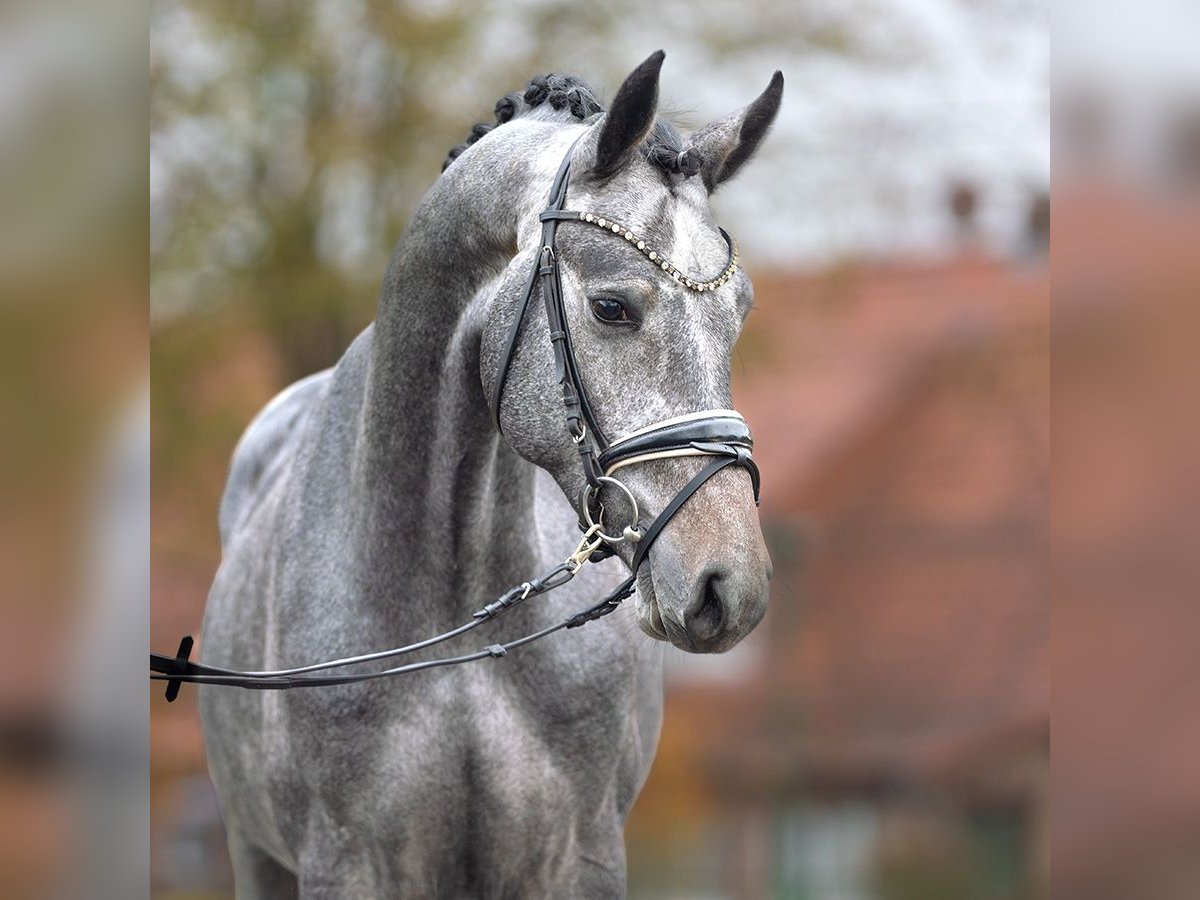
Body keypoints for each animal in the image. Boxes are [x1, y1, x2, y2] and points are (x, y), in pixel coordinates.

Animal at [201, 52, 782, 897]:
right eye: (611, 307)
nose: (727, 583)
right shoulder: (344, 863)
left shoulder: (580, 856)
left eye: (740, 312)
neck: (455, 616)